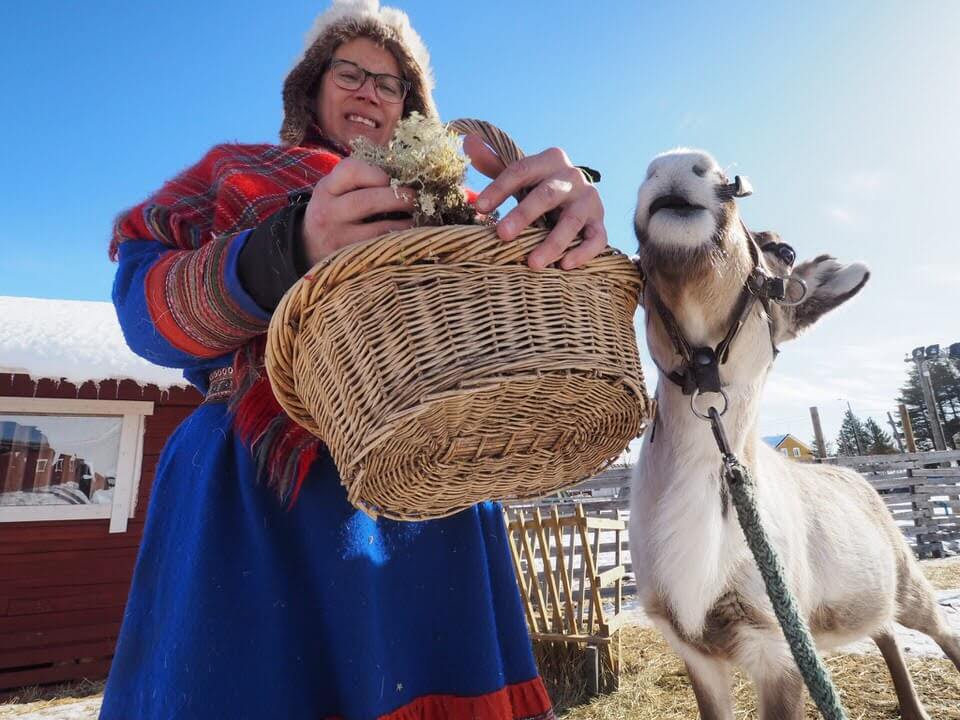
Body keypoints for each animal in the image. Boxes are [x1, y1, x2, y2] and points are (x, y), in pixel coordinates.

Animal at [627, 148, 960, 719]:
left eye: (786, 249)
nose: (678, 161)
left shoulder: (775, 644)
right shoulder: (693, 648)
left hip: (907, 580)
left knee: (941, 632)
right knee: (884, 632)